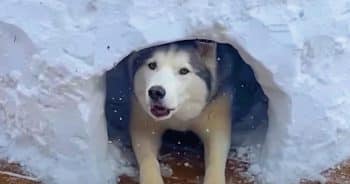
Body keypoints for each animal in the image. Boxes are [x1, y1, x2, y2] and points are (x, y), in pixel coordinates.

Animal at [127, 40, 231, 184]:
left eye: (184, 71)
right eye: (152, 65)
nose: (156, 92)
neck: (179, 115)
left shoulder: (217, 115)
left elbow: (216, 158)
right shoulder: (144, 122)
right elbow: (148, 159)